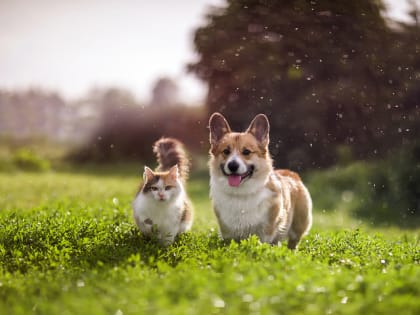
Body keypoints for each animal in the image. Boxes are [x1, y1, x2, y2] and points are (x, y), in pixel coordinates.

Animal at [208, 113, 310, 249]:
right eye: (226, 151)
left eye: (246, 152)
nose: (232, 165)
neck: (241, 193)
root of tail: (291, 173)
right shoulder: (227, 232)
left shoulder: (266, 230)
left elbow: (263, 242)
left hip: (298, 225)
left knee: (293, 243)